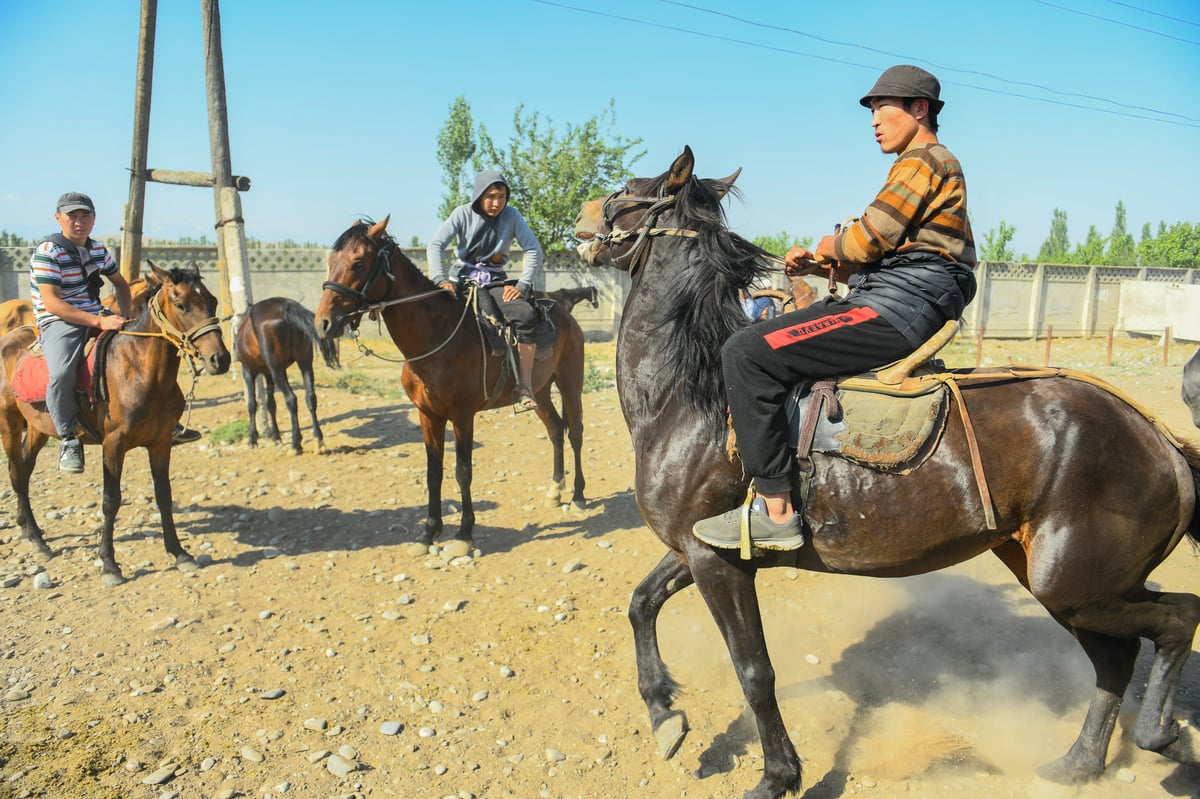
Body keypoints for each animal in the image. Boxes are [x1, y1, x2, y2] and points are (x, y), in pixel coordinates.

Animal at [0, 263, 229, 583]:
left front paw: (179, 553)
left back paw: (28, 529)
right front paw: (109, 563)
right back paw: (37, 540)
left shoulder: (160, 443)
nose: (220, 359)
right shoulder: (113, 444)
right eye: (181, 304)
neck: (137, 370)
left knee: (23, 470)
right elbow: (110, 500)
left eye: (212, 301)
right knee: (16, 473)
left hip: (37, 428)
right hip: (8, 423)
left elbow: (164, 495)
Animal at [235, 293, 340, 453]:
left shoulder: (248, 370)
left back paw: (296, 443)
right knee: (310, 397)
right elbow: (270, 403)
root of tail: (285, 307)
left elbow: (252, 404)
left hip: (277, 370)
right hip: (304, 363)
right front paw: (276, 436)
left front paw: (252, 438)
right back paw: (318, 439)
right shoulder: (268, 373)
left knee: (291, 399)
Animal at [314, 214, 585, 551]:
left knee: (575, 432)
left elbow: (463, 471)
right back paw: (555, 490)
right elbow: (434, 473)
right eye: (331, 261)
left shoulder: (463, 416)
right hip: (540, 391)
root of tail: (563, 313)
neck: (437, 336)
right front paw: (430, 531)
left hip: (570, 382)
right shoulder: (428, 415)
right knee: (556, 430)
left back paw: (578, 495)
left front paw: (465, 532)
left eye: (358, 263)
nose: (324, 323)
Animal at [571, 143, 1200, 796]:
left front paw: (778, 776)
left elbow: (754, 671)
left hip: (1078, 584)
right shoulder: (698, 548)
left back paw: (1159, 734)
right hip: (1067, 581)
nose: (581, 218)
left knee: (1178, 620)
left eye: (626, 190)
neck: (692, 398)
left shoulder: (717, 562)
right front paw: (665, 714)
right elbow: (641, 603)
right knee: (1117, 659)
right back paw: (1078, 764)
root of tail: (1161, 441)